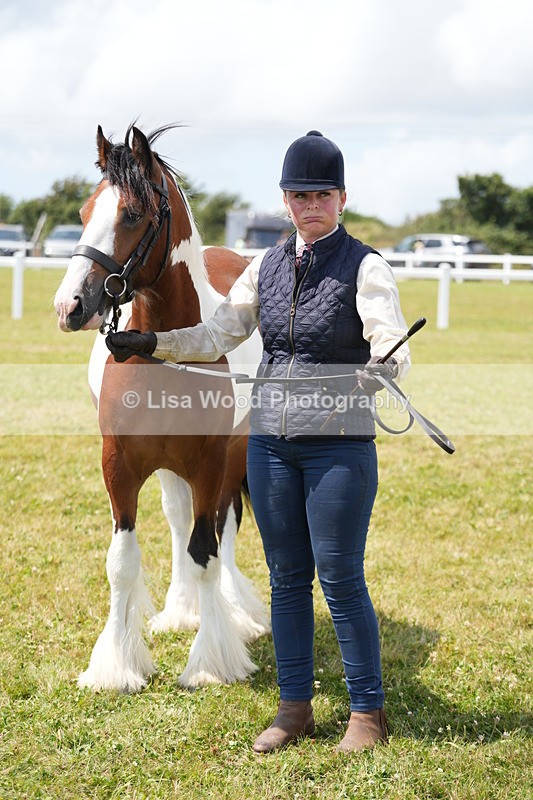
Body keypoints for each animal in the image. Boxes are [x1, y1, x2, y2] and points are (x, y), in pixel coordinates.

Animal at [54, 123, 268, 692]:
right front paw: (116, 666)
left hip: (231, 456)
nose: (70, 306)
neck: (164, 351)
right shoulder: (119, 466)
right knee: (178, 521)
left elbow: (207, 551)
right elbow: (122, 561)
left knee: (223, 526)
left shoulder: (211, 462)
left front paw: (212, 661)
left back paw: (236, 615)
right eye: (85, 211)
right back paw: (181, 610)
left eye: (132, 214)